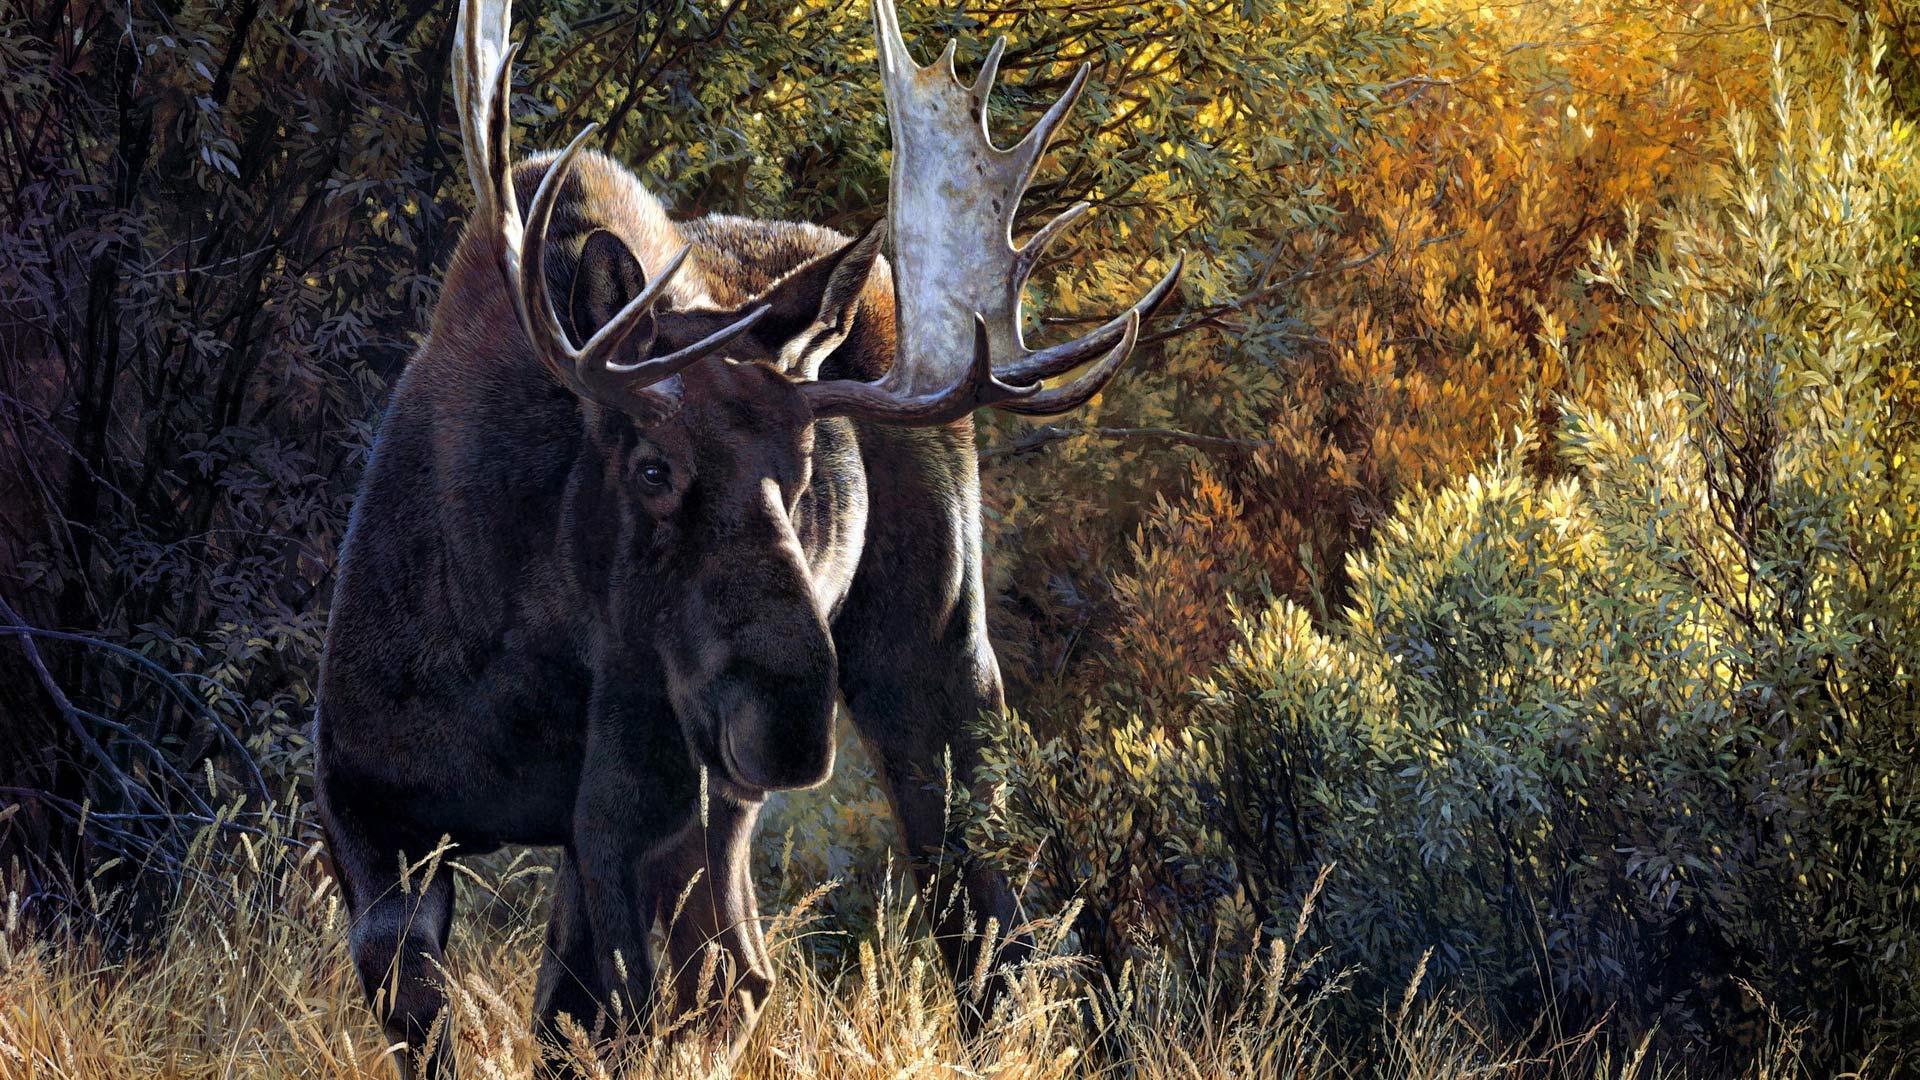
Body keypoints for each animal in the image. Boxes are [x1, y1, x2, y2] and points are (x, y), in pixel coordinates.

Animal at [312, 0, 1180, 1074]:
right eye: (653, 469)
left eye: (806, 476)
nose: (791, 717)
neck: (516, 646)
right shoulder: (365, 797)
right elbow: (445, 1003)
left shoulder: (652, 808)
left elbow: (658, 994)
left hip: (926, 653)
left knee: (960, 884)